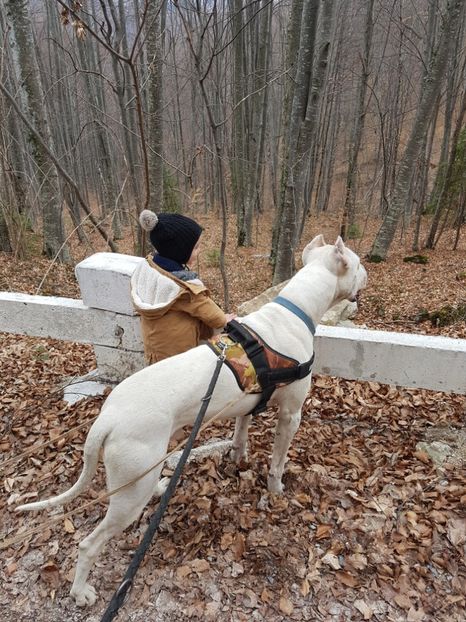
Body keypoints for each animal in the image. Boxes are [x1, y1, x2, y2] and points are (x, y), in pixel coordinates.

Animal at [16, 236, 368, 608]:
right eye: (359, 265)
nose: (368, 273)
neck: (295, 312)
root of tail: (106, 419)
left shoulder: (247, 402)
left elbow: (241, 433)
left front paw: (238, 458)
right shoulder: (291, 414)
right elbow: (277, 462)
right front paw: (276, 491)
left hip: (141, 473)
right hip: (130, 494)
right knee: (88, 544)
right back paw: (81, 591)